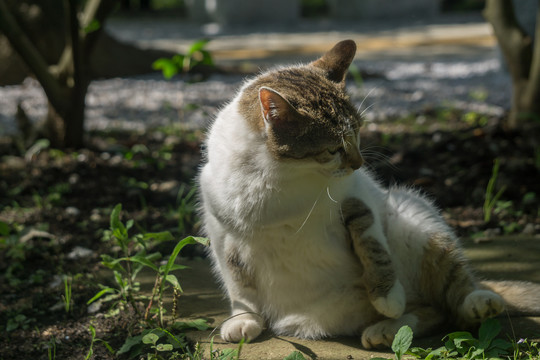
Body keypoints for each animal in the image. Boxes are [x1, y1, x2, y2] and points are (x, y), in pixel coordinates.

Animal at [199, 39, 540, 348]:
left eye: (358, 132)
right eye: (333, 149)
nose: (359, 163)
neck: (278, 175)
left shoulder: (357, 200)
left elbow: (372, 244)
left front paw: (387, 297)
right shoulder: (222, 235)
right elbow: (239, 287)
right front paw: (243, 319)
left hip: (415, 215)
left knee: (452, 300)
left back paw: (473, 304)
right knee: (432, 312)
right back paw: (387, 330)